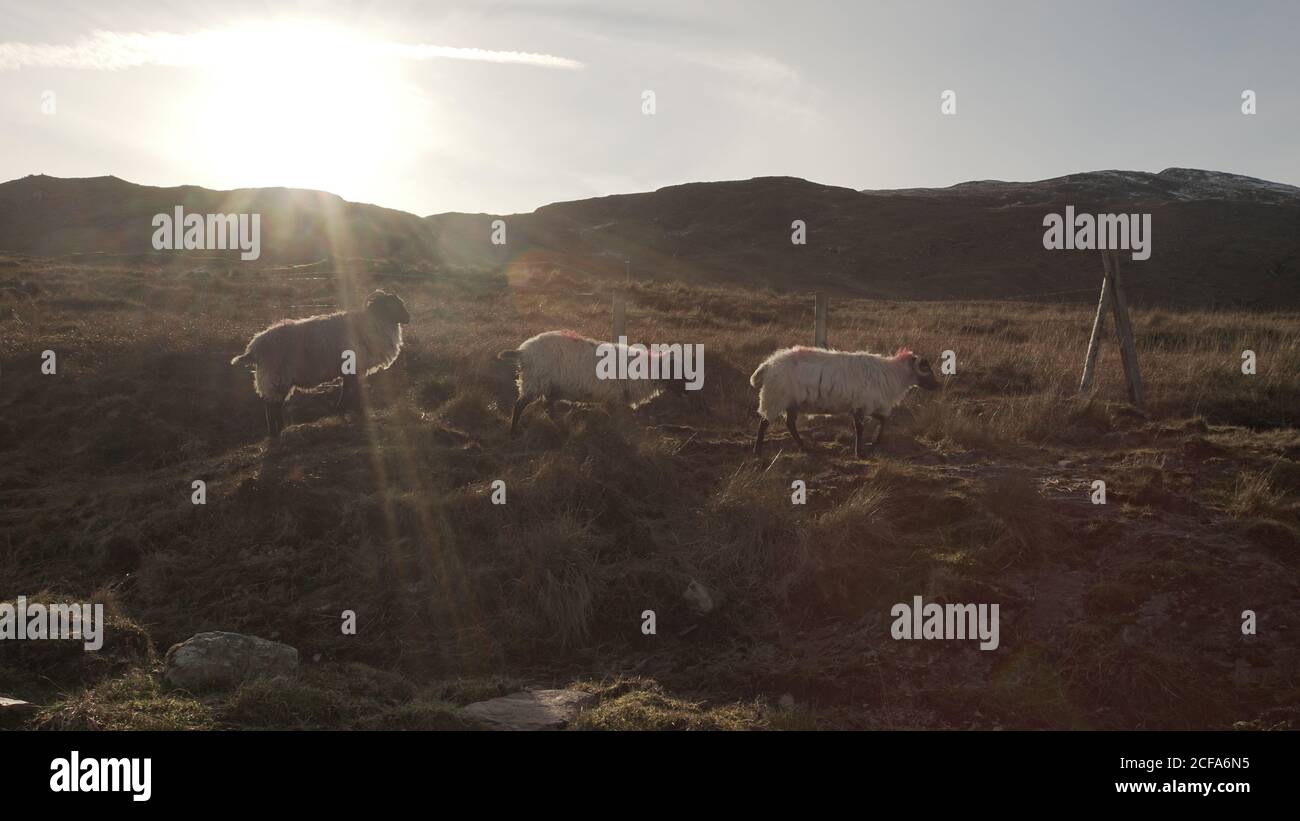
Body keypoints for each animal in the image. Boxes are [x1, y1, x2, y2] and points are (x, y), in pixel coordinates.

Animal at [231, 292, 408, 439]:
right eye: (395, 305)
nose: (409, 317)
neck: (375, 323)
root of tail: (254, 347)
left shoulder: (349, 371)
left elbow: (348, 390)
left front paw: (343, 410)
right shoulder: (354, 368)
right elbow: (352, 391)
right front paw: (355, 411)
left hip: (274, 379)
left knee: (273, 404)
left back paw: (279, 430)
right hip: (276, 377)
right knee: (271, 406)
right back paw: (276, 433)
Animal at [493, 328, 691, 436]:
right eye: (678, 372)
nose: (688, 389)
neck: (646, 372)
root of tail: (523, 352)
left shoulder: (614, 400)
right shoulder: (614, 399)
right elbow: (616, 421)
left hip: (551, 387)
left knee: (548, 408)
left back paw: (563, 430)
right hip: (536, 381)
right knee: (520, 405)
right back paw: (513, 432)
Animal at [748, 345, 941, 459]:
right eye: (925, 367)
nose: (937, 386)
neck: (894, 375)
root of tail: (768, 365)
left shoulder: (866, 405)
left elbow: (883, 420)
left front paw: (875, 442)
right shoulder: (862, 405)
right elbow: (860, 429)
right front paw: (860, 453)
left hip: (791, 402)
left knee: (790, 424)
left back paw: (804, 447)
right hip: (775, 398)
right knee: (764, 423)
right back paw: (757, 451)